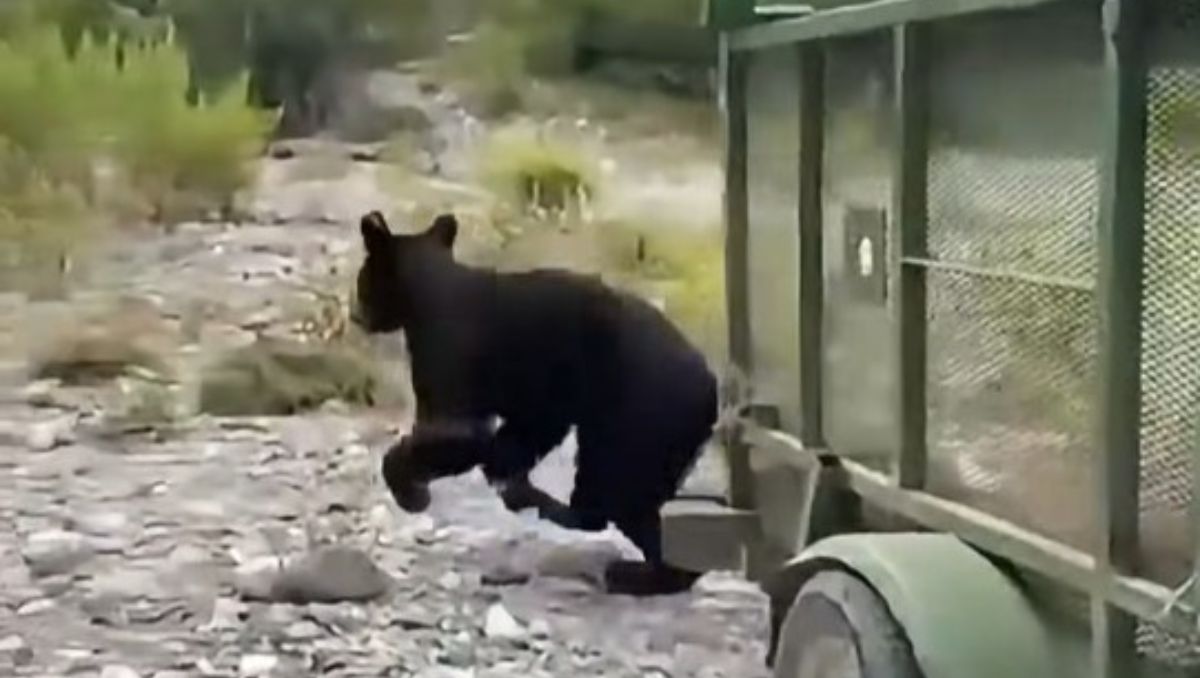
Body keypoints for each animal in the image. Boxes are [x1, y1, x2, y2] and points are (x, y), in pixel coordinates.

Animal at [352, 210, 718, 596]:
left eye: (363, 279)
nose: (356, 316)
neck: (426, 298)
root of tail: (713, 391)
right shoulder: (541, 400)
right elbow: (519, 434)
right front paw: (506, 476)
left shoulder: (450, 358)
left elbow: (457, 433)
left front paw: (412, 493)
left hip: (636, 421)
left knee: (618, 490)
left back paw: (629, 571)